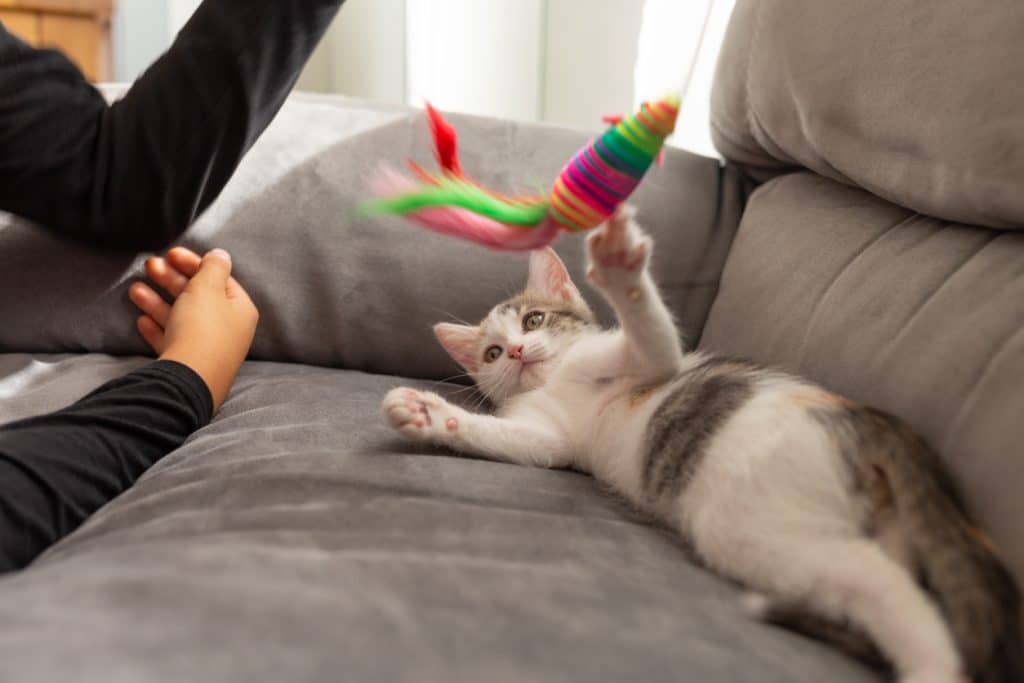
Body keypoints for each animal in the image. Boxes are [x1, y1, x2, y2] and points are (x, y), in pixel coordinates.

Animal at [380, 205, 1019, 679]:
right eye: (490, 353)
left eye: (534, 320)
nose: (514, 351)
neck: (558, 377)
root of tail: (875, 425)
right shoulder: (550, 436)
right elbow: (516, 439)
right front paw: (427, 413)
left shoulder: (648, 360)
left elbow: (654, 342)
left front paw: (619, 263)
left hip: (757, 523)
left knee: (883, 585)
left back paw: (933, 668)